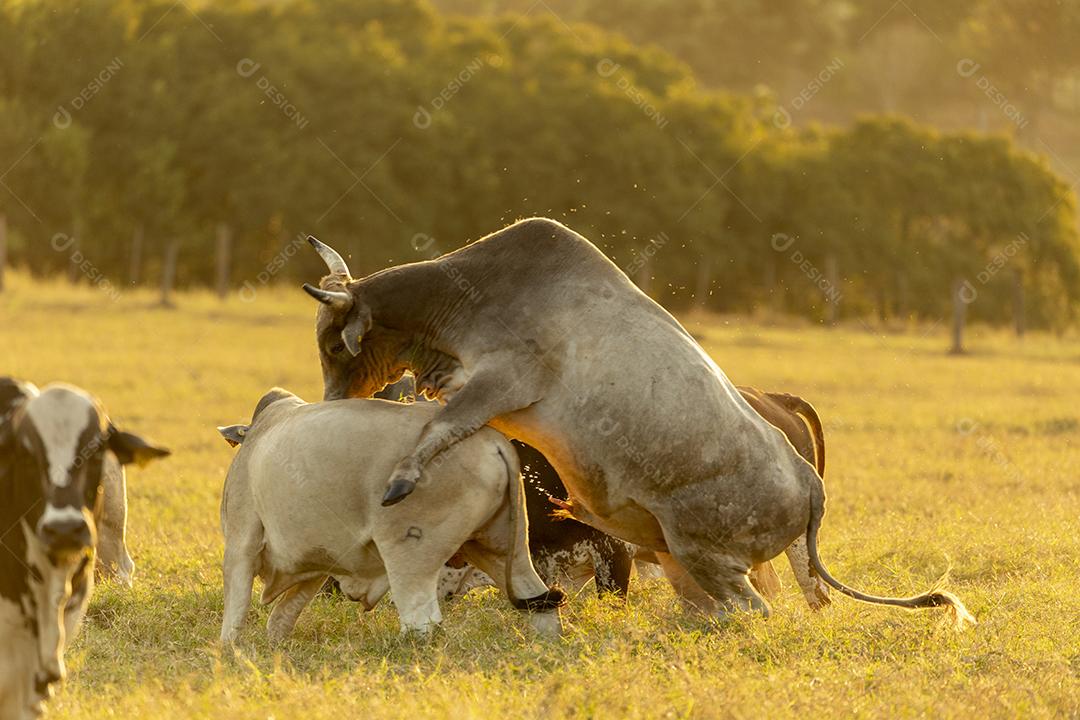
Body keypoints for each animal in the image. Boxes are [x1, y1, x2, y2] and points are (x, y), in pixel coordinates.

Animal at [302, 218, 980, 626]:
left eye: (335, 344)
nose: (331, 403)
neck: (473, 296)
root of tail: (809, 485)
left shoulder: (500, 384)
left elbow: (436, 431)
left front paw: (399, 484)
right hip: (698, 559)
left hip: (702, 554)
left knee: (756, 611)